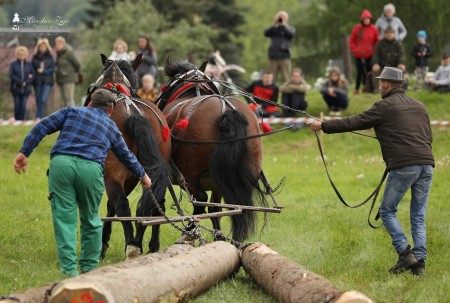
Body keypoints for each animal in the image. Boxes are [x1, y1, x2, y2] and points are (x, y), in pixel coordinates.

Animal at [86, 54, 172, 256]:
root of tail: (134, 115)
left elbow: (112, 205)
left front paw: (104, 242)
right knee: (152, 205)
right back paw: (146, 244)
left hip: (114, 173)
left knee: (121, 204)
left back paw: (132, 246)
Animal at [158, 59, 268, 242]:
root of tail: (225, 109)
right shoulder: (218, 184)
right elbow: (215, 209)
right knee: (235, 207)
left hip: (191, 176)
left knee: (200, 202)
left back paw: (190, 232)